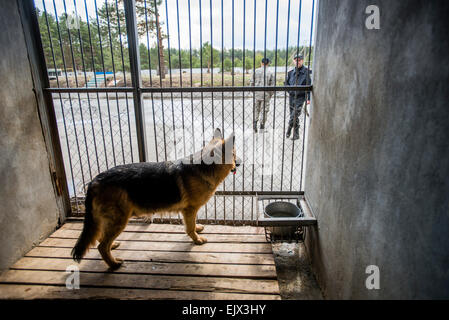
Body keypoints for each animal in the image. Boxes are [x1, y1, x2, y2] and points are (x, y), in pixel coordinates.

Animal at [72, 129, 240, 268]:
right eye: (234, 154)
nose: (240, 163)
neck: (205, 167)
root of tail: (95, 180)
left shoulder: (189, 212)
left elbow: (192, 224)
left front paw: (197, 229)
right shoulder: (189, 210)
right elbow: (190, 227)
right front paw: (197, 239)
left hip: (109, 221)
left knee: (101, 239)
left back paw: (112, 247)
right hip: (119, 220)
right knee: (102, 245)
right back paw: (113, 264)